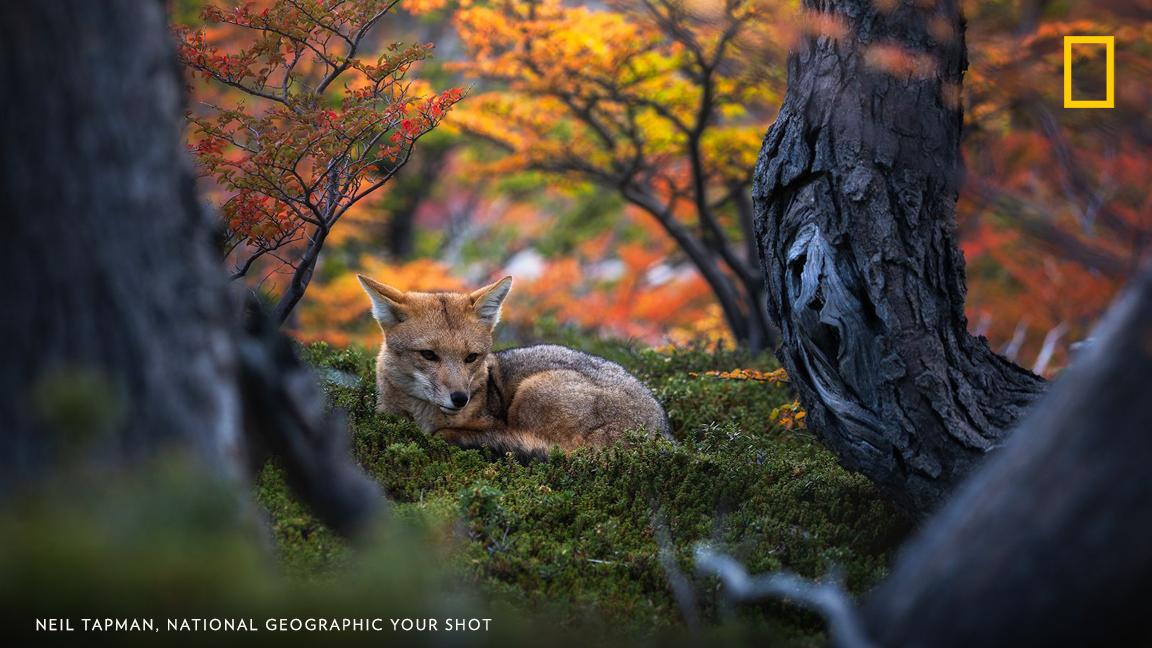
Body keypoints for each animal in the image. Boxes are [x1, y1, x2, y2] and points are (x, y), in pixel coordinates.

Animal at [354, 274, 672, 456]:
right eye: (428, 355)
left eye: (471, 357)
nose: (459, 398)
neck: (423, 417)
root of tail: (664, 434)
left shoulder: (493, 421)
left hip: (531, 392)